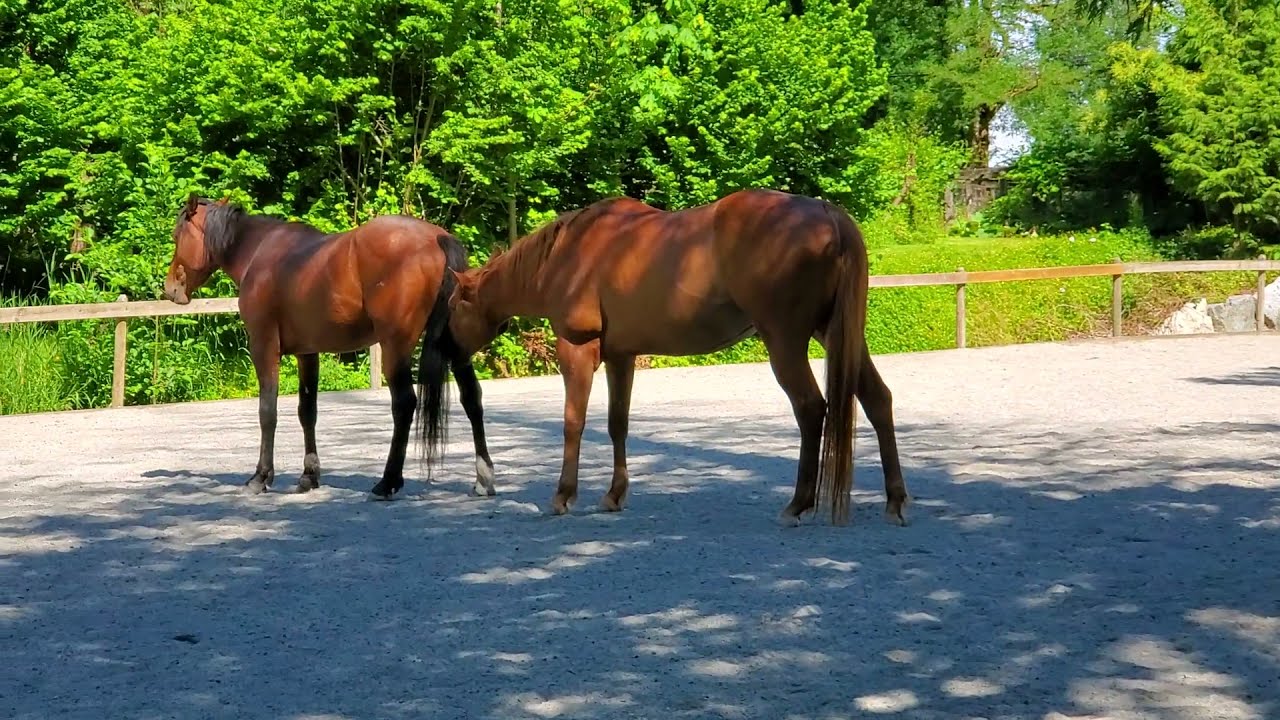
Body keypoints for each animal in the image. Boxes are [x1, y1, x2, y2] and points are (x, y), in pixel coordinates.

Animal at [162, 194, 497, 500]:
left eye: (178, 235)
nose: (170, 289)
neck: (260, 252)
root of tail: (438, 239)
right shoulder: (307, 353)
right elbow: (307, 411)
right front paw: (309, 476)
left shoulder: (264, 346)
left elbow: (267, 411)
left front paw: (261, 477)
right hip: (455, 345)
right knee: (472, 398)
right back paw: (483, 478)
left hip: (395, 347)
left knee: (404, 404)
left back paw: (387, 482)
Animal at [445, 188, 908, 527]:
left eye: (452, 306)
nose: (447, 351)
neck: (568, 252)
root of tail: (828, 214)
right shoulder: (621, 356)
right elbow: (617, 425)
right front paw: (614, 495)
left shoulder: (577, 349)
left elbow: (573, 422)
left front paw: (563, 495)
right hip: (836, 335)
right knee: (878, 399)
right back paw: (895, 500)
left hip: (785, 341)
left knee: (812, 409)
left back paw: (798, 504)